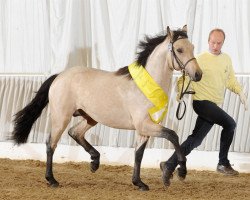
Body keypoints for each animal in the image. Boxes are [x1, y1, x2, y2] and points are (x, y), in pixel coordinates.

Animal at [12, 25, 203, 191]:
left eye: (193, 47)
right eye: (179, 50)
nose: (198, 74)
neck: (146, 86)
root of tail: (59, 76)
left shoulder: (144, 129)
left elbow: (139, 154)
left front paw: (139, 183)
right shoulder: (144, 125)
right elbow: (173, 135)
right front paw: (178, 172)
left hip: (90, 117)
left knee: (75, 132)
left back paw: (95, 162)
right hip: (61, 117)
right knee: (51, 144)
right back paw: (52, 180)